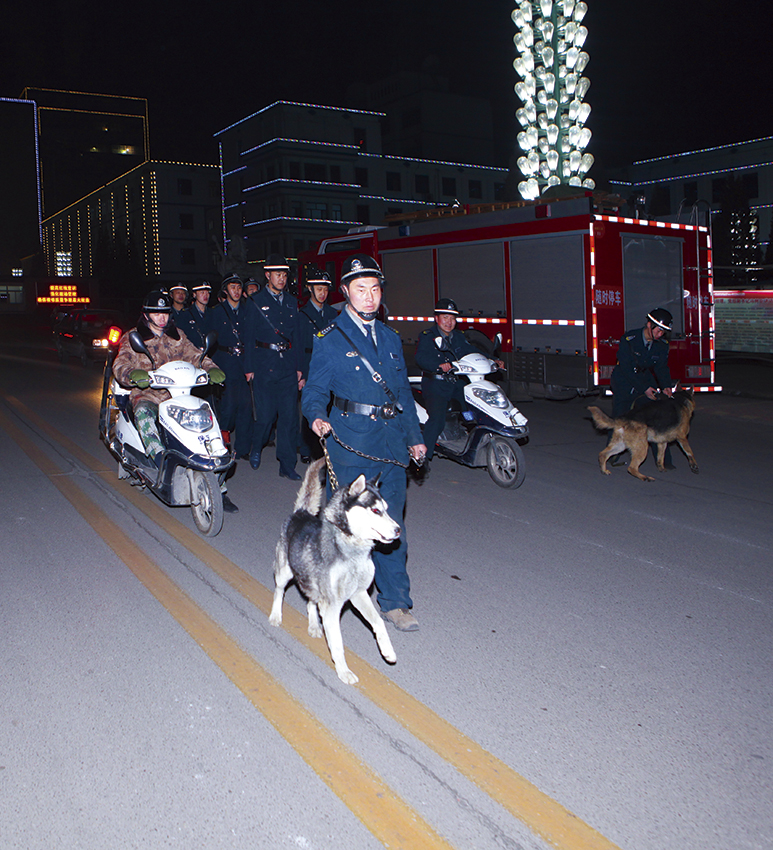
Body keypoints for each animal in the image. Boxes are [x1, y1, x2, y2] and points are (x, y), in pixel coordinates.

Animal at [266, 458, 398, 684]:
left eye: (387, 509)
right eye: (375, 511)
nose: (398, 530)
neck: (352, 551)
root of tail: (301, 513)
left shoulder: (358, 594)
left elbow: (379, 622)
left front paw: (388, 651)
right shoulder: (333, 605)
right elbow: (337, 643)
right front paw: (344, 671)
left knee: (311, 601)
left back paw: (313, 624)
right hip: (285, 572)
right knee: (279, 591)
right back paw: (276, 615)